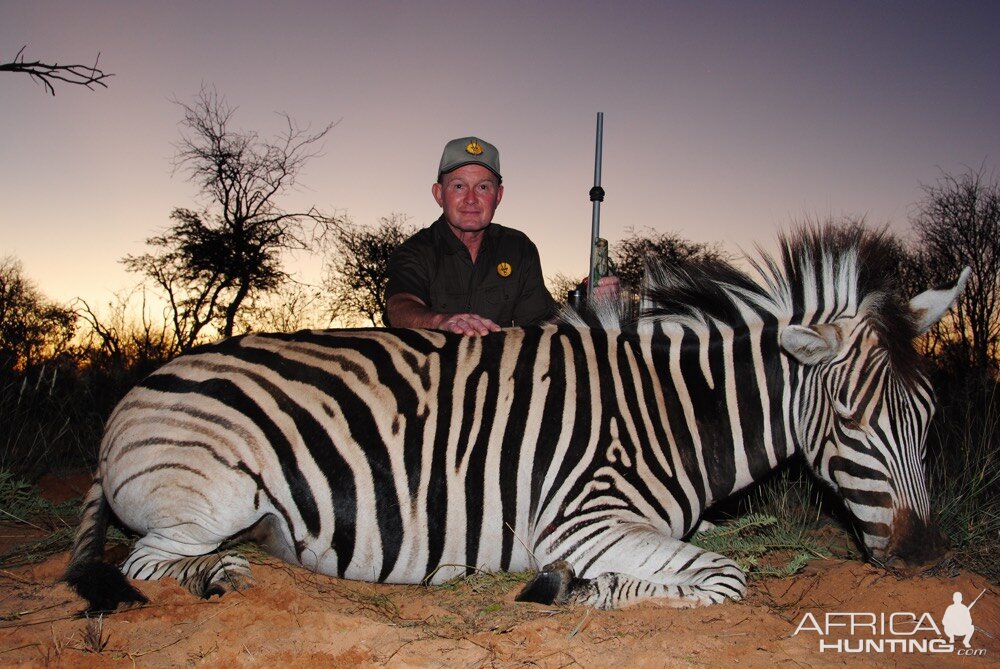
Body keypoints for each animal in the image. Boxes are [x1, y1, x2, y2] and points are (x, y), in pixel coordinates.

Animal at [64, 226, 968, 612]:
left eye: (929, 416)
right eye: (851, 420)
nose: (926, 557)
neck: (671, 410)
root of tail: (127, 404)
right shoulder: (585, 520)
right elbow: (724, 578)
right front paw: (575, 589)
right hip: (213, 496)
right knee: (145, 561)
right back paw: (216, 576)